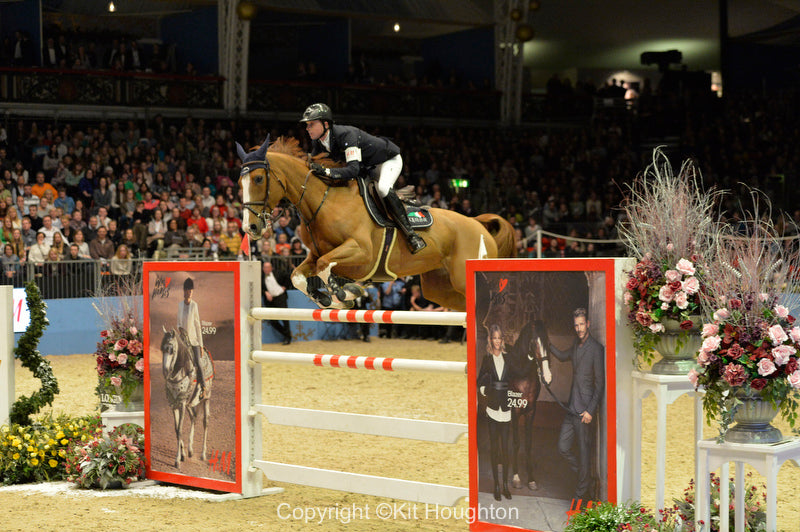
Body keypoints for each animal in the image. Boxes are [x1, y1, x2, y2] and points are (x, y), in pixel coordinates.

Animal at [159, 324, 214, 470]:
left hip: (206, 398)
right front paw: (182, 454)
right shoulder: (174, 404)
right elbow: (177, 429)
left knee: (205, 421)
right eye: (162, 349)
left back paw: (203, 454)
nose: (165, 371)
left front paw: (177, 460)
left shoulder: (182, 404)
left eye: (171, 349)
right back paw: (190, 450)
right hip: (192, 402)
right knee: (194, 417)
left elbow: (180, 429)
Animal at [234, 135, 516, 314]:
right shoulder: (313, 255)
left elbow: (326, 267)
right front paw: (328, 297)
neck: (324, 202)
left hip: (463, 276)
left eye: (258, 179)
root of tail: (478, 224)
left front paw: (345, 293)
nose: (251, 229)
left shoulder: (362, 253)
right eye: (239, 182)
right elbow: (297, 277)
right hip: (439, 288)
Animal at [506, 320, 552, 490]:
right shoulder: (514, 411)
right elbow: (516, 443)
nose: (548, 377)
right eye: (533, 343)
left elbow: (528, 444)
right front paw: (516, 478)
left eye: (548, 342)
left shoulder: (531, 412)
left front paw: (531, 479)